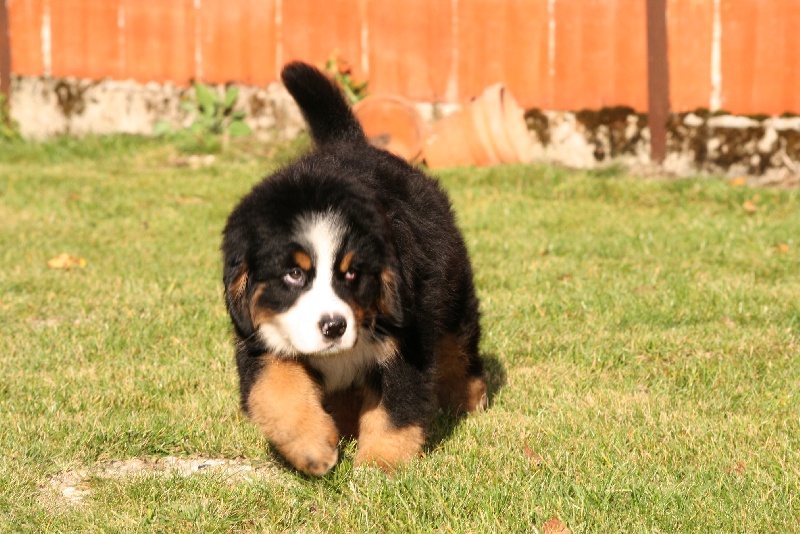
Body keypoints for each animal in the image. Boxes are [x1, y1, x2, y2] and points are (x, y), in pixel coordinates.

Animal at [221, 62, 487, 475]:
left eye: (351, 273)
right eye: (294, 274)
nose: (333, 326)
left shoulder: (406, 340)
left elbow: (393, 410)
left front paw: (379, 466)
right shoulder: (260, 337)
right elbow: (277, 392)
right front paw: (312, 447)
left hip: (453, 294)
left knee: (459, 346)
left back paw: (471, 397)